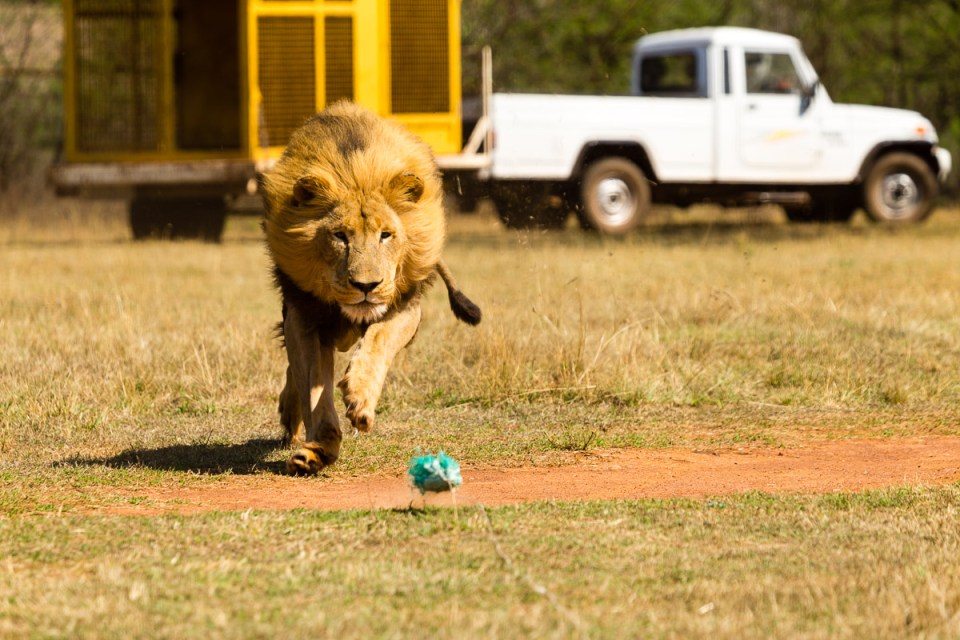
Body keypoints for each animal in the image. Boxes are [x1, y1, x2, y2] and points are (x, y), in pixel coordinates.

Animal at [261, 102, 481, 475]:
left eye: (385, 235)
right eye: (339, 236)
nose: (366, 285)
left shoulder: (406, 307)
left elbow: (379, 341)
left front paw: (360, 397)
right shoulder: (305, 316)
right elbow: (314, 389)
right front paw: (317, 451)